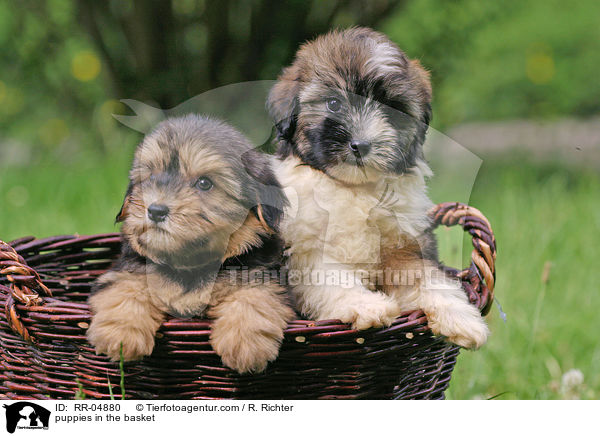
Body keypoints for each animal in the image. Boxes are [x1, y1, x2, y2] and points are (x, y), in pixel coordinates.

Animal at [88, 114, 294, 372]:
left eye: (204, 183)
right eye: (151, 177)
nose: (155, 211)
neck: (189, 265)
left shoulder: (264, 274)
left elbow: (255, 295)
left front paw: (245, 343)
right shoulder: (128, 268)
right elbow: (126, 287)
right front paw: (121, 335)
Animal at [268, 26, 488, 348]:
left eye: (393, 109)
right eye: (334, 103)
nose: (361, 144)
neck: (354, 189)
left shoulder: (405, 247)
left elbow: (429, 279)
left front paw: (462, 318)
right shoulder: (307, 249)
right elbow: (330, 278)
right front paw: (366, 306)